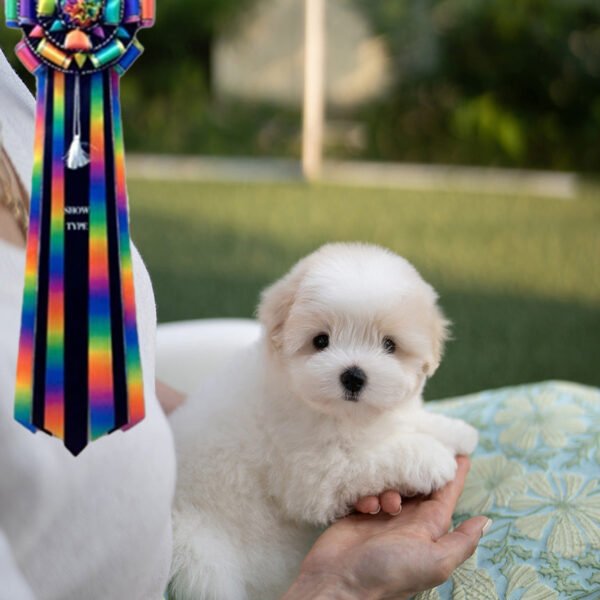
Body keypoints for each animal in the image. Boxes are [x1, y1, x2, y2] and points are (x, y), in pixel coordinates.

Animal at [168, 242, 478, 600]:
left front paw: (454, 430)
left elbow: (403, 421)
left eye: (389, 344)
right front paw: (432, 458)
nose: (354, 376)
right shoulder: (317, 474)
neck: (342, 415)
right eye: (320, 341)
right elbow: (378, 456)